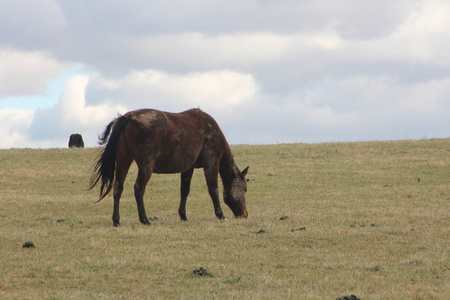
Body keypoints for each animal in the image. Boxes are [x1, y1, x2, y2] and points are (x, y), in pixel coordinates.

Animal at [88, 109, 250, 226]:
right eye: (245, 189)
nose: (245, 214)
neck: (211, 131)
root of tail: (128, 117)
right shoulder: (211, 163)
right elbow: (213, 190)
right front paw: (220, 214)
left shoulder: (188, 168)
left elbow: (184, 191)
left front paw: (183, 215)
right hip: (145, 166)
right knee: (139, 189)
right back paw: (144, 219)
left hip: (123, 162)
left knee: (118, 187)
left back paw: (116, 220)